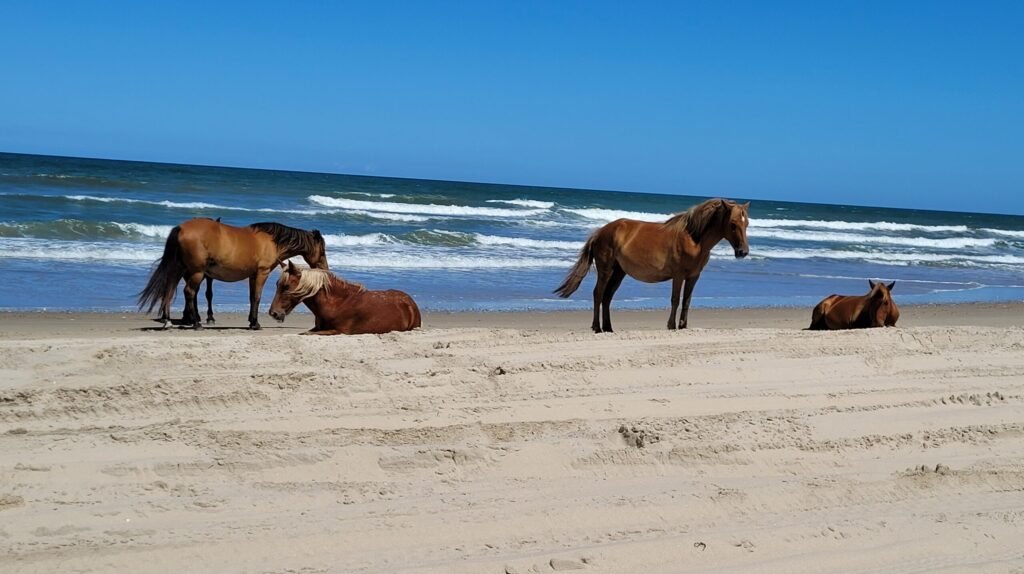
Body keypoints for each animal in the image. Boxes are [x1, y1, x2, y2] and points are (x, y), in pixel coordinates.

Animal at [138, 218, 329, 330]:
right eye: (322, 250)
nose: (325, 268)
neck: (271, 241)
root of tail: (181, 228)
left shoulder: (253, 275)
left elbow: (252, 297)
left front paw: (251, 321)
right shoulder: (262, 273)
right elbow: (257, 297)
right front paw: (255, 323)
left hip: (181, 269)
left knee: (169, 291)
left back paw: (168, 321)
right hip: (196, 272)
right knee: (189, 293)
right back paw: (196, 323)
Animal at [268, 261, 421, 335]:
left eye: (286, 286)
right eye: (277, 284)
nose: (273, 313)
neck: (337, 303)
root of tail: (410, 301)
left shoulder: (338, 331)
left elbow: (305, 334)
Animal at [554, 198, 750, 333]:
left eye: (746, 223)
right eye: (733, 224)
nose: (743, 252)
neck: (694, 239)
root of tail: (600, 232)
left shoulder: (694, 276)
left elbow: (687, 301)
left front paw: (683, 326)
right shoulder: (678, 275)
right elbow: (675, 299)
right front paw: (671, 325)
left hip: (619, 273)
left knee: (607, 297)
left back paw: (608, 328)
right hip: (606, 271)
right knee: (598, 294)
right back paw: (597, 327)